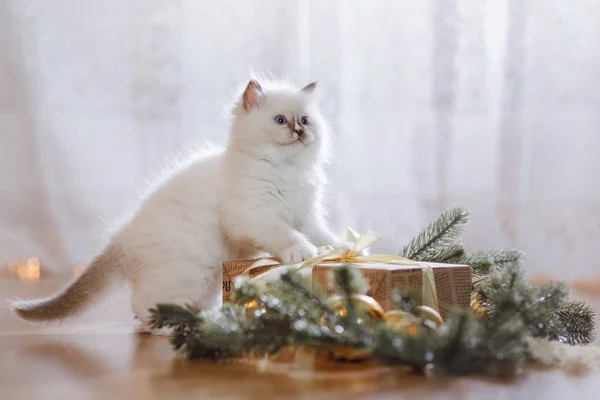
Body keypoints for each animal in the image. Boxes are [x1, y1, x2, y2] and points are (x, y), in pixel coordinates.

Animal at [8, 77, 346, 332]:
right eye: (280, 121)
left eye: (305, 120)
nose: (299, 131)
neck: (289, 170)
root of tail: (121, 238)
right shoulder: (250, 215)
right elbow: (283, 233)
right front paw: (301, 251)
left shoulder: (307, 216)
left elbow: (323, 236)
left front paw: (341, 249)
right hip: (187, 273)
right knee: (142, 307)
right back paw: (172, 328)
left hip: (206, 281)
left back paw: (202, 318)